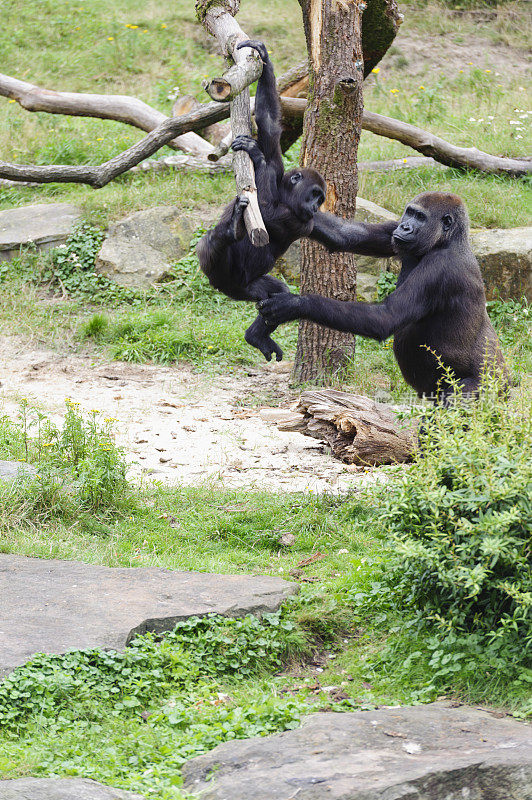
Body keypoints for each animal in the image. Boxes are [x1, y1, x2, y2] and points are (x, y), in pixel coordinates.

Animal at [197, 40, 326, 360]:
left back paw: (257, 335)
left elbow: (265, 214)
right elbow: (268, 122)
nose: (315, 207)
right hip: (223, 278)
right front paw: (263, 58)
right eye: (315, 195)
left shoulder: (299, 220)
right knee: (210, 246)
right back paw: (227, 231)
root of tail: (229, 290)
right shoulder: (280, 171)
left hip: (245, 287)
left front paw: (255, 156)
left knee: (276, 296)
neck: (286, 195)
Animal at [260, 193, 510, 404]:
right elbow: (345, 234)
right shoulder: (393, 230)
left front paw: (292, 305)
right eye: (409, 213)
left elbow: (385, 317)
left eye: (421, 217)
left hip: (487, 384)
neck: (449, 240)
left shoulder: (441, 267)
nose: (405, 226)